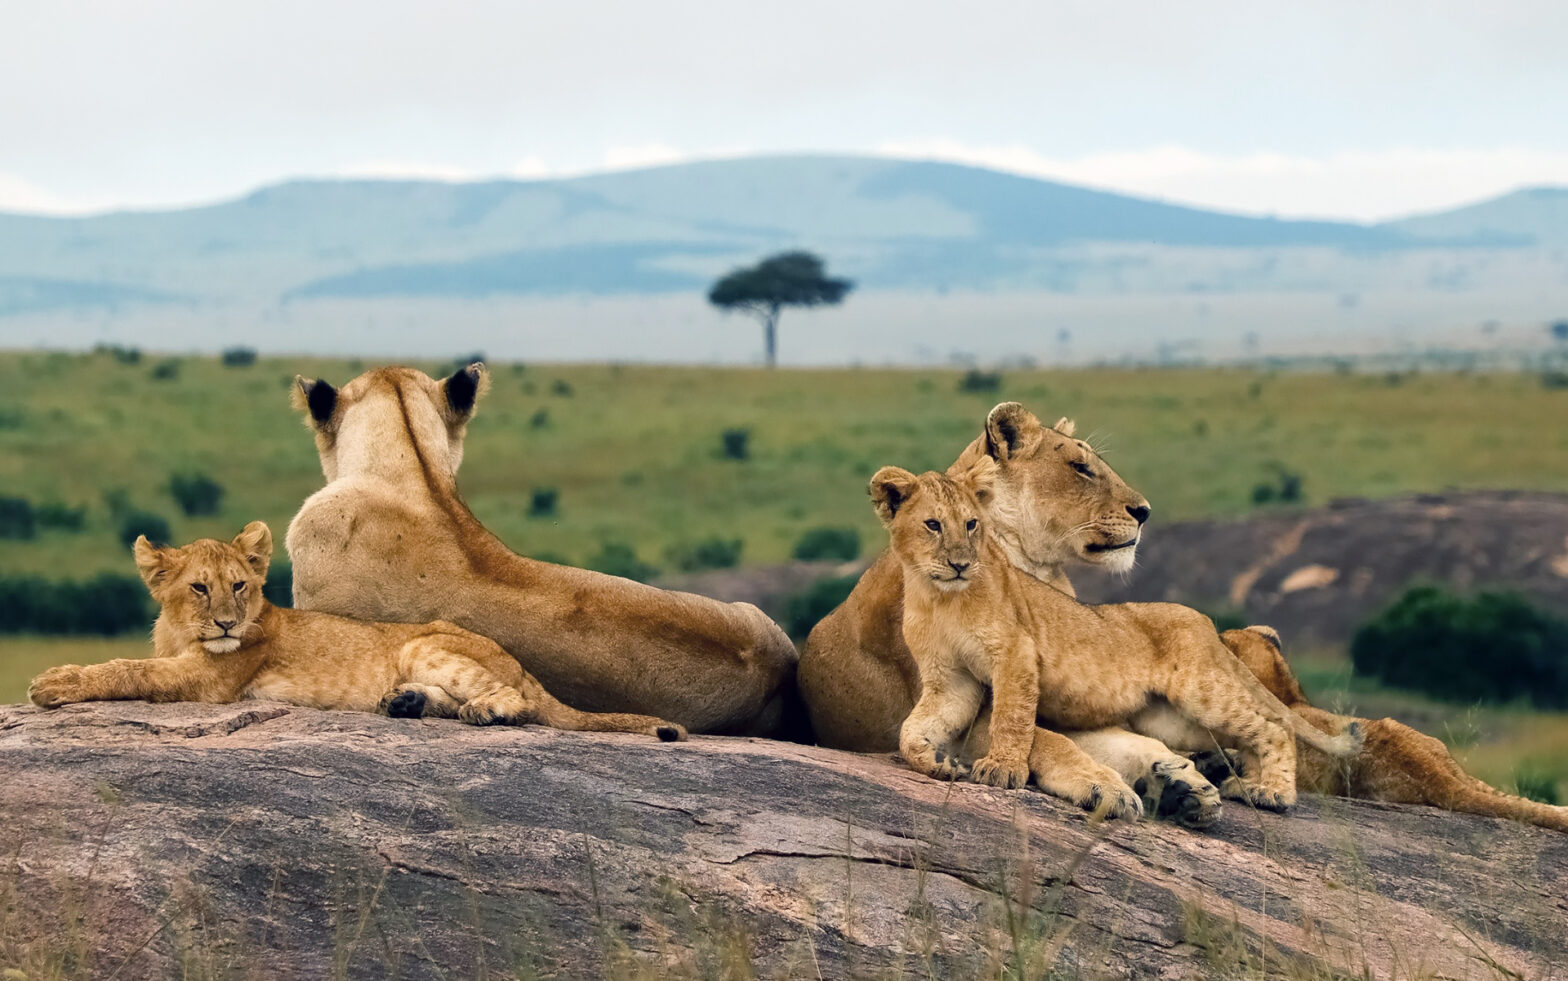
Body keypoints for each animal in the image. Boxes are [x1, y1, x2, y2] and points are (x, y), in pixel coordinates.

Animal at [28, 522, 687, 742]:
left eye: (239, 585)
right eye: (199, 588)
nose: (228, 622)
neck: (183, 635)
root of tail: (519, 660)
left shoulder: (210, 681)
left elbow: (126, 669)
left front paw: (54, 683)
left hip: (426, 643)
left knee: (517, 702)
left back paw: (483, 711)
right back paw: (402, 703)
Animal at [872, 460, 1363, 811]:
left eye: (972, 524)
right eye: (934, 525)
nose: (959, 563)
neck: (938, 597)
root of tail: (1204, 622)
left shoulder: (1015, 654)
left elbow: (1013, 719)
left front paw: (1002, 769)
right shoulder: (950, 679)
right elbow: (911, 729)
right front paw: (936, 760)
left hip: (1204, 691)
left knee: (1273, 726)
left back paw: (1272, 793)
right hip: (1172, 719)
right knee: (1237, 738)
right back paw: (1235, 782)